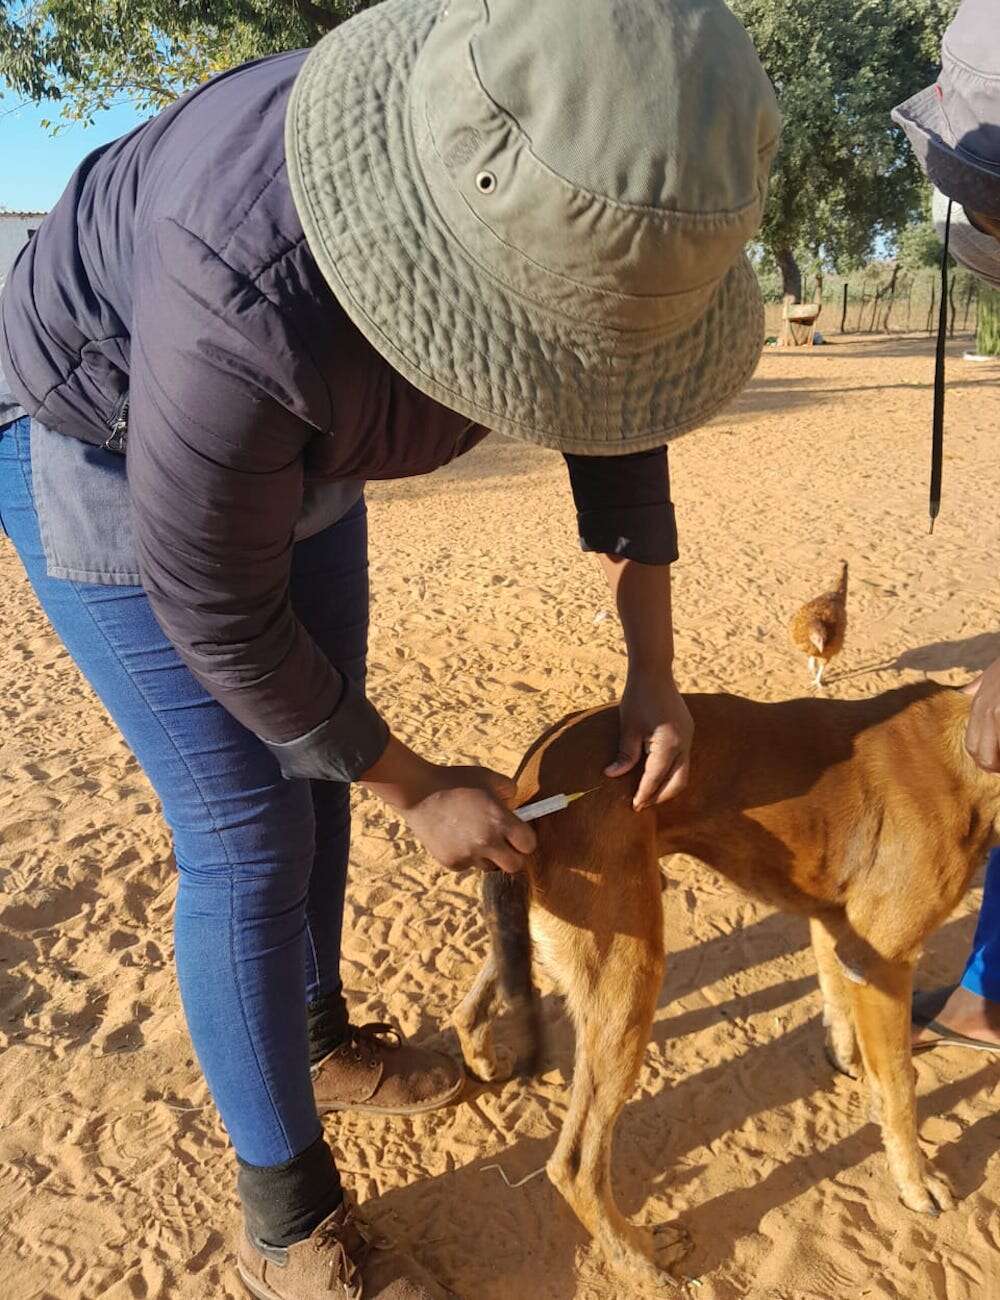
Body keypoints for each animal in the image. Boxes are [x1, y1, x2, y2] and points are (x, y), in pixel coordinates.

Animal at [452, 681, 998, 1289]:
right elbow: (901, 1083)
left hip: (552, 929)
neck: (964, 752)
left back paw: (481, 1059)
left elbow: (839, 1007)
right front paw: (915, 1180)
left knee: (470, 1004)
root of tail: (529, 787)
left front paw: (848, 1061)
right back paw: (640, 1258)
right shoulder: (886, 960)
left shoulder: (839, 929)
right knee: (574, 1165)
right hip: (629, 977)